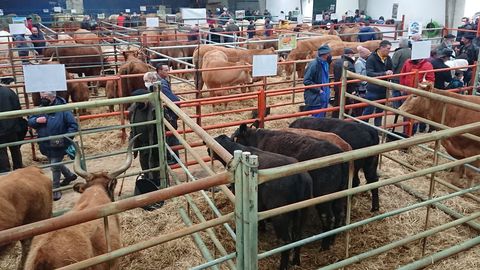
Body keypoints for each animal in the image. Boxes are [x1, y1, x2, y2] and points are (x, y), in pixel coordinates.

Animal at [209, 135, 314, 270]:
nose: (208, 150)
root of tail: (301, 177)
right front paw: (262, 227)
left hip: (280, 215)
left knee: (286, 241)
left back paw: (282, 266)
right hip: (302, 212)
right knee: (298, 236)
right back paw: (296, 261)